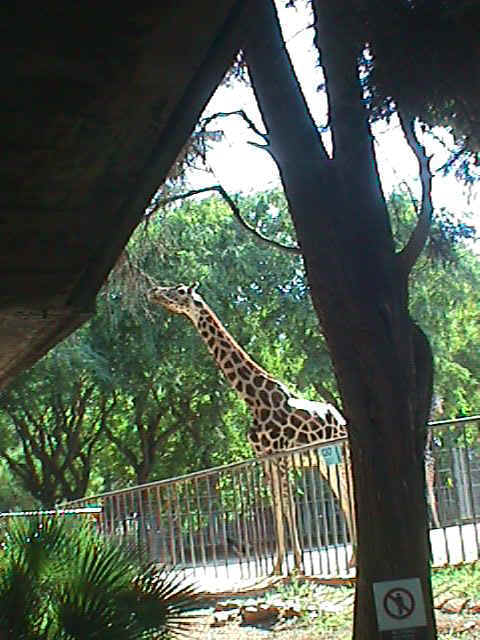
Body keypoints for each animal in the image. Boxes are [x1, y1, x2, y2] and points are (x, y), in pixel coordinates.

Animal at [148, 283, 356, 574]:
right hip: (325, 464)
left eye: (178, 291)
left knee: (349, 496)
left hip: (341, 457)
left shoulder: (280, 455)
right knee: (344, 498)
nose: (154, 291)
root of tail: (341, 419)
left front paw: (298, 566)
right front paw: (278, 566)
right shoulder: (264, 458)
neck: (254, 400)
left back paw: (353, 558)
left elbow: (288, 506)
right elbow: (276, 505)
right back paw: (352, 559)